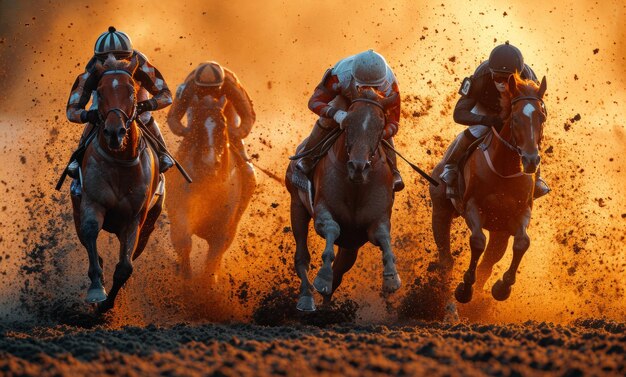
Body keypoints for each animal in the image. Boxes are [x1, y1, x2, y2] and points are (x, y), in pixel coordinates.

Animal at [70, 53, 163, 312]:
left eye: (131, 91)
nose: (114, 132)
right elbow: (91, 232)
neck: (121, 160)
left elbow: (125, 267)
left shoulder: (135, 219)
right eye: (100, 92)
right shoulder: (92, 203)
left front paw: (107, 306)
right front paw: (96, 290)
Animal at [166, 93, 256, 280]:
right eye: (197, 125)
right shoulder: (180, 216)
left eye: (223, 126)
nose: (209, 164)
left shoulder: (222, 231)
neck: (208, 187)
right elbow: (184, 242)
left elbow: (212, 261)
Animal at [284, 88, 398, 312]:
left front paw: (391, 279)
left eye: (380, 125)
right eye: (348, 122)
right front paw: (322, 278)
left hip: (351, 243)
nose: (358, 166)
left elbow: (384, 237)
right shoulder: (322, 212)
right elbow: (331, 228)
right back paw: (307, 298)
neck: (356, 186)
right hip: (297, 205)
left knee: (339, 271)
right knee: (302, 257)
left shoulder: (373, 223)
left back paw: (327, 308)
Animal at [428, 73, 544, 302]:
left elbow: (522, 242)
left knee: (488, 263)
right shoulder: (473, 206)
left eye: (542, 118)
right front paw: (465, 288)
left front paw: (503, 287)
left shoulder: (520, 212)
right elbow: (477, 240)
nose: (530, 160)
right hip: (441, 208)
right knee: (446, 256)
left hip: (500, 231)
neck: (504, 170)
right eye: (515, 119)